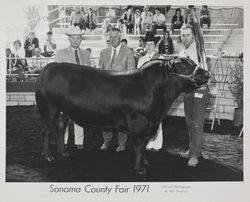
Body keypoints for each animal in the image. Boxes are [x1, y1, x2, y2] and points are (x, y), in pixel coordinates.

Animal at [35, 57, 210, 174]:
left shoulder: (149, 125)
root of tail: (49, 67)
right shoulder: (139, 123)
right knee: (45, 132)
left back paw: (63, 152)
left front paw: (145, 163)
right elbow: (139, 146)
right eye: (185, 67)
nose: (207, 73)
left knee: (60, 128)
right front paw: (139, 168)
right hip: (48, 109)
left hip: (63, 111)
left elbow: (144, 146)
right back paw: (48, 156)